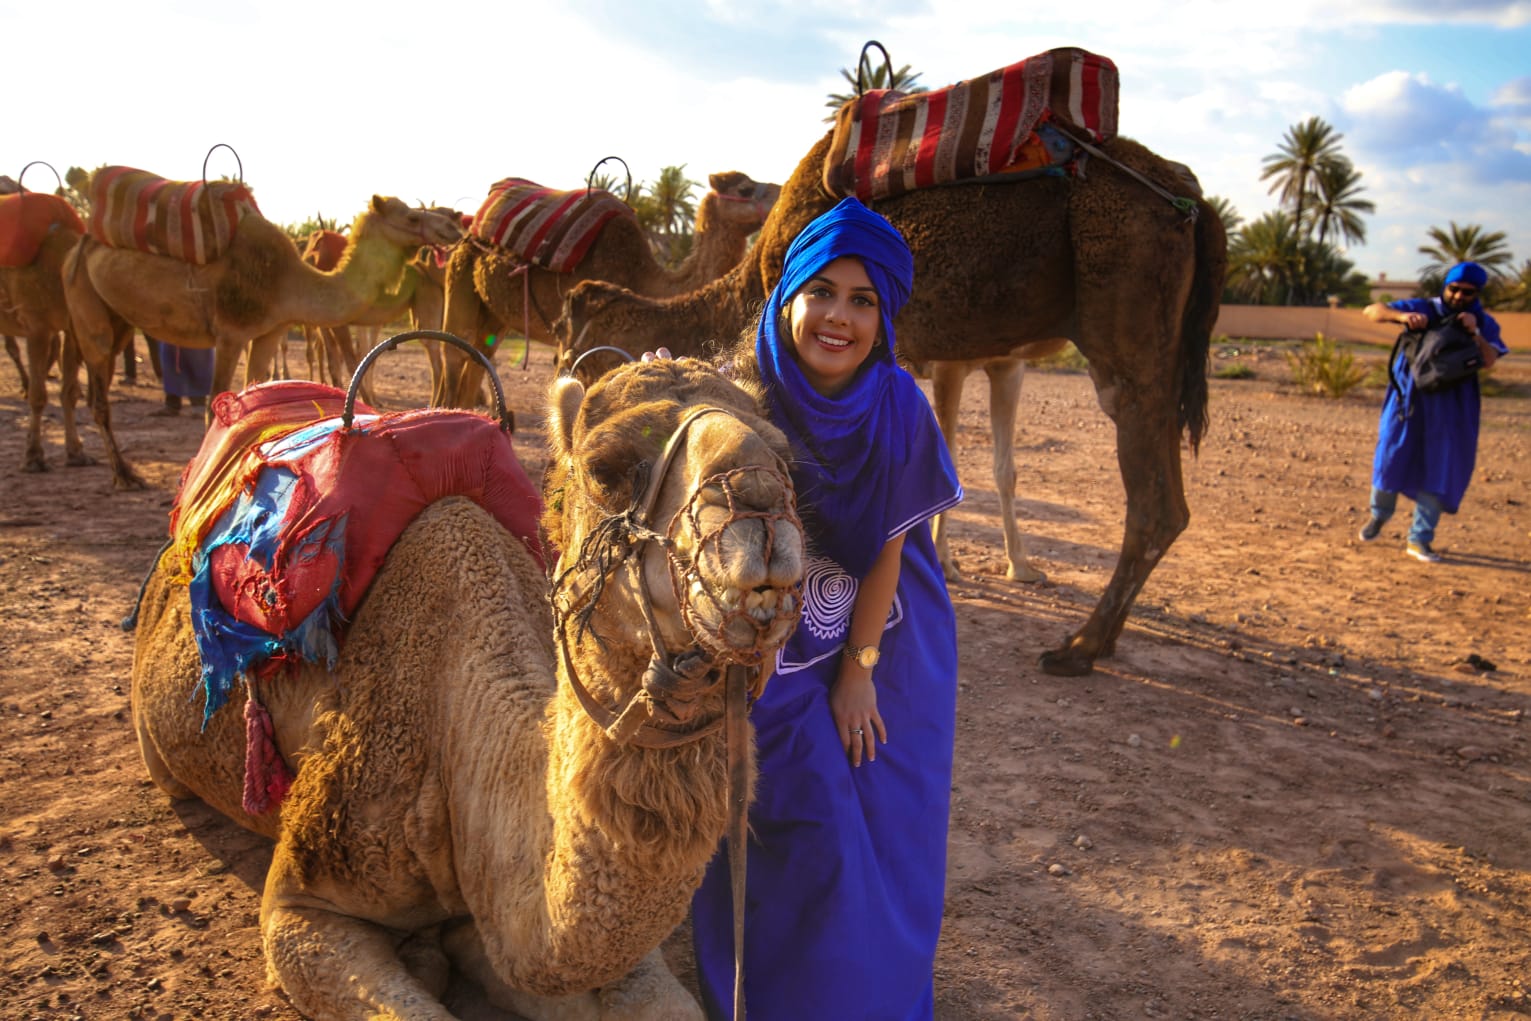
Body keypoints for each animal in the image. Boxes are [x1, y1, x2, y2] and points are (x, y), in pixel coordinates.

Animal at [61, 197, 465, 492]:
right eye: (411, 217)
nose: (452, 227)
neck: (290, 281)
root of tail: (80, 242)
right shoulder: (231, 331)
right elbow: (214, 405)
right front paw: (206, 481)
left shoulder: (270, 331)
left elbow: (252, 399)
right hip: (87, 308)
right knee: (97, 397)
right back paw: (123, 474)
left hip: (113, 317)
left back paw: (77, 456)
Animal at [440, 171, 777, 407]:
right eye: (744, 188)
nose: (777, 190)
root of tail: (471, 227)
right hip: (458, 276)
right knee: (452, 354)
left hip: (493, 315)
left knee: (478, 357)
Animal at [557, 127, 1224, 679]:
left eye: (575, 322)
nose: (567, 363)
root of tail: (1193, 202)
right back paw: (1097, 639)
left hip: (1126, 316)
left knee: (1155, 500)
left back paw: (1079, 648)